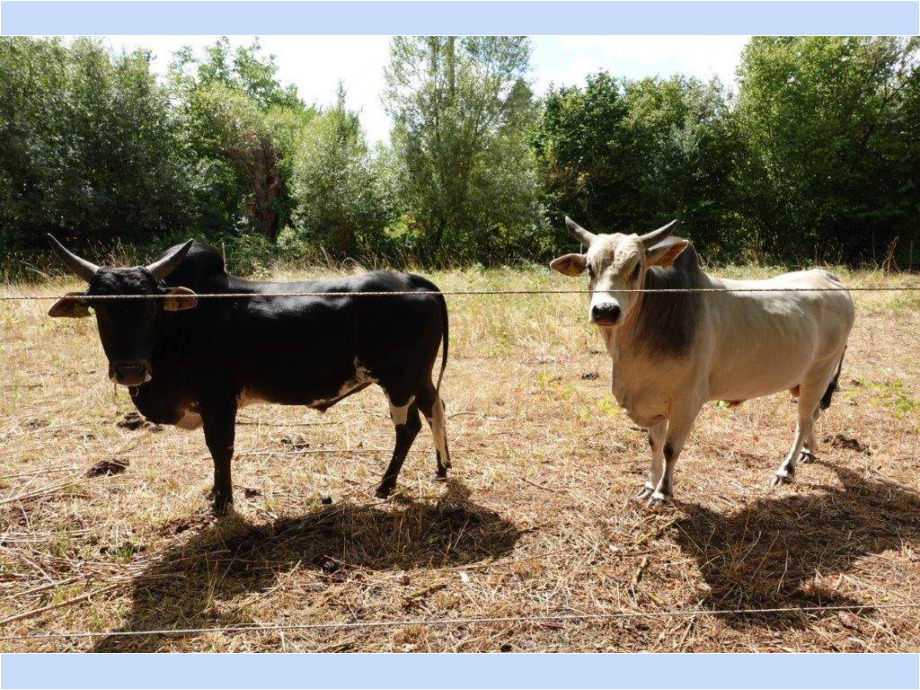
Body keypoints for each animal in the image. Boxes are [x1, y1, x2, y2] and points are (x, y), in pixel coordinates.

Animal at [47, 236, 451, 515]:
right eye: (100, 309)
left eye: (151, 308)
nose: (131, 369)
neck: (182, 324)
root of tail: (412, 281)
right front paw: (216, 495)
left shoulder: (218, 400)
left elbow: (220, 448)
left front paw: (222, 502)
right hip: (419, 378)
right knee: (436, 408)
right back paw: (442, 468)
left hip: (399, 382)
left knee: (408, 427)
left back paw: (385, 485)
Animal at [550, 217, 855, 504]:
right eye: (590, 268)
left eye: (637, 267)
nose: (605, 310)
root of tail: (830, 277)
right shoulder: (653, 400)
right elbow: (654, 444)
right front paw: (649, 484)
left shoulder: (687, 401)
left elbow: (671, 448)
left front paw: (663, 492)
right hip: (803, 380)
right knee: (812, 416)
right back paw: (808, 452)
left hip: (821, 372)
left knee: (803, 420)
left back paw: (786, 469)